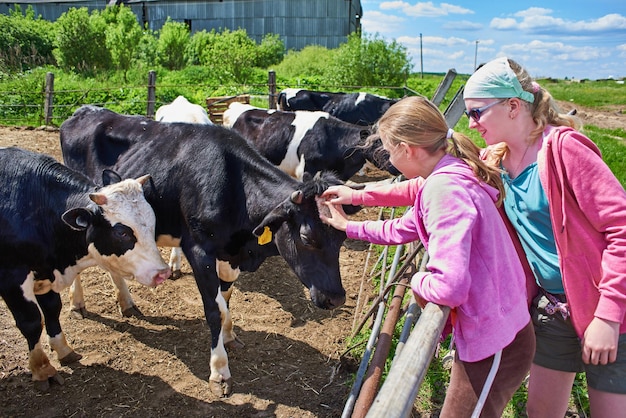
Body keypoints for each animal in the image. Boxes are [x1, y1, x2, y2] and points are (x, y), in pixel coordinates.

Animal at [0, 147, 171, 392]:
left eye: (153, 223)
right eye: (122, 232)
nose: (162, 272)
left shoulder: (46, 272)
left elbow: (52, 309)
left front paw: (63, 350)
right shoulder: (12, 278)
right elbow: (31, 321)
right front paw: (42, 369)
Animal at [60, 106, 358, 396]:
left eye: (342, 234)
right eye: (307, 237)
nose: (336, 298)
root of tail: (84, 111)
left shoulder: (230, 256)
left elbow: (225, 299)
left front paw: (229, 335)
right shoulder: (199, 250)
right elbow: (214, 310)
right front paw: (219, 371)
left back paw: (126, 302)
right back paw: (77, 303)